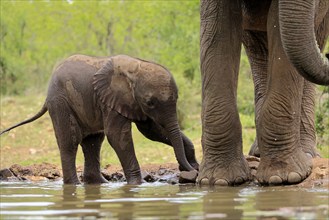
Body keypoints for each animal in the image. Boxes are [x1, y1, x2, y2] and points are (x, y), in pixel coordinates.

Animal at [0, 54, 197, 185]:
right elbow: (117, 136)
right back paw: (75, 185)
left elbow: (152, 131)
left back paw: (98, 183)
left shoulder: (130, 101)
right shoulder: (111, 99)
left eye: (177, 98)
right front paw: (136, 184)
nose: (191, 171)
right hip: (60, 102)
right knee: (70, 142)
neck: (136, 67)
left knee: (93, 142)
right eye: (150, 102)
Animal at [197, 0, 328, 186]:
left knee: (316, 37)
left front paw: (282, 177)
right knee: (259, 50)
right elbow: (217, 31)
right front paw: (218, 180)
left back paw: (307, 153)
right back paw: (259, 152)